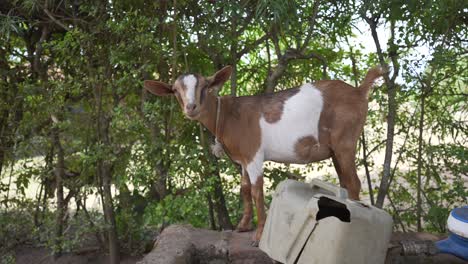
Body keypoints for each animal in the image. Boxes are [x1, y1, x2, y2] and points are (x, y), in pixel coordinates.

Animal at [145, 66, 384, 245]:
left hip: (346, 142)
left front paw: (258, 235)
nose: (191, 107)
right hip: (336, 150)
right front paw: (242, 226)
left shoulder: (254, 155)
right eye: (175, 90)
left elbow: (256, 190)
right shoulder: (243, 159)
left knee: (353, 183)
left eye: (205, 86)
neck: (229, 116)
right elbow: (243, 189)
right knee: (345, 183)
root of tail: (359, 91)